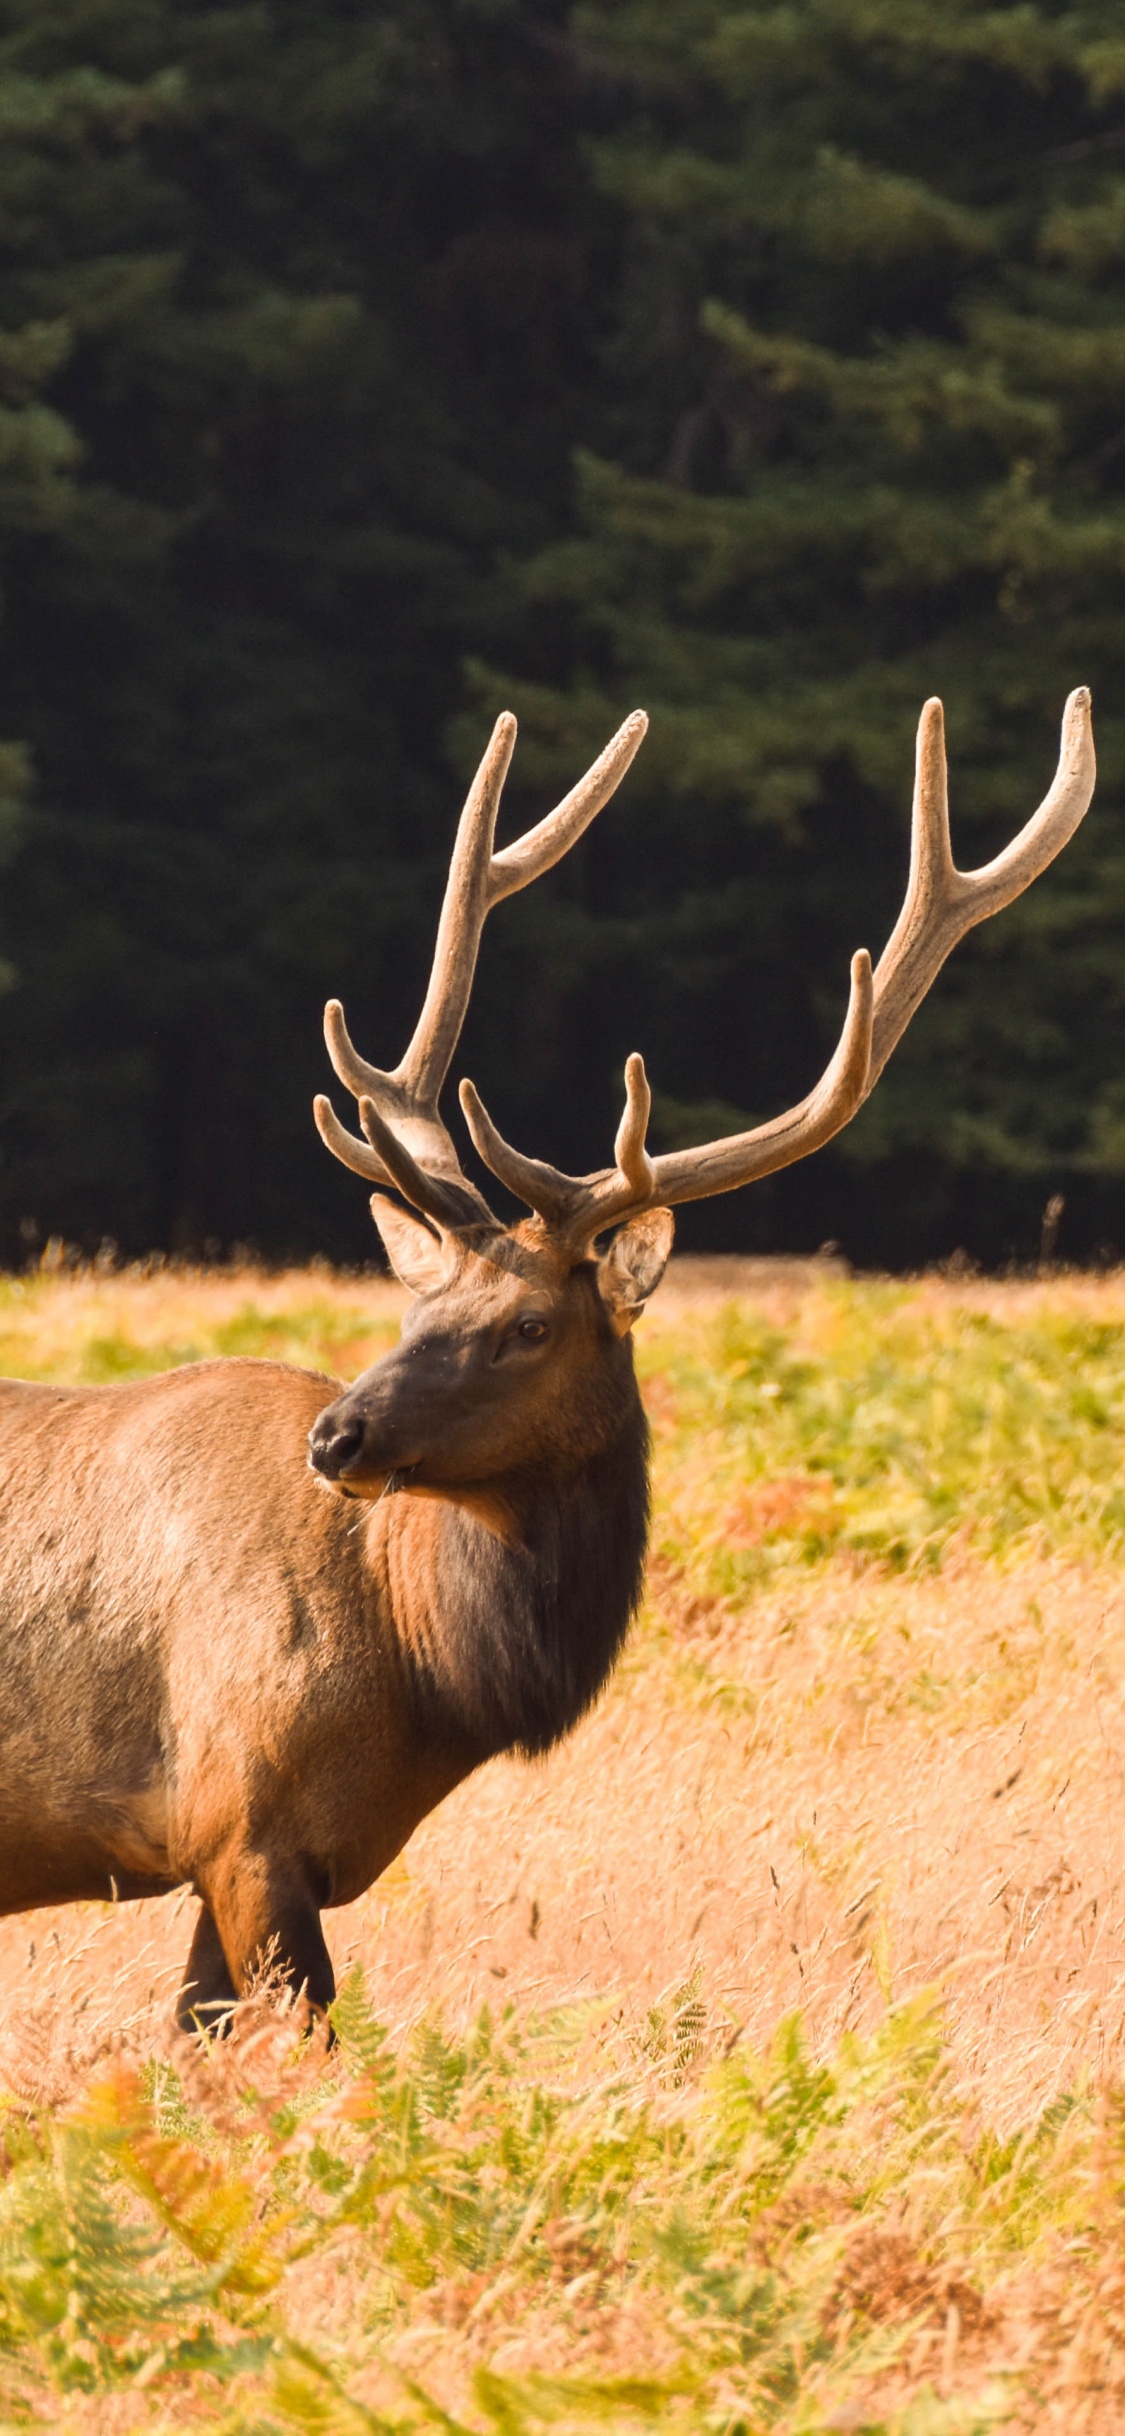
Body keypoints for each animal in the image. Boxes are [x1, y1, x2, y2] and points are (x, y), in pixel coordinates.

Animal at [0, 686, 1090, 2017]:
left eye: (524, 1325)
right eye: (418, 1310)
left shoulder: (256, 1858)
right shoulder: (236, 1822)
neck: (421, 1670)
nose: (338, 1437)